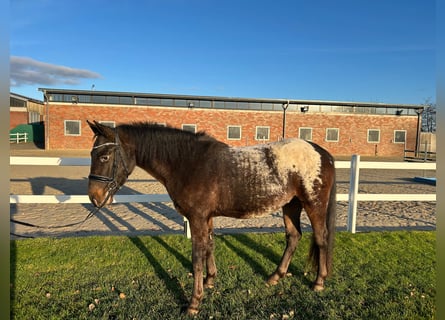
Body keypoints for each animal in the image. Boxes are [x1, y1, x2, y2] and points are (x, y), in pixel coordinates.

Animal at [87, 120, 336, 316]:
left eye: (105, 156)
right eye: (92, 154)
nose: (94, 197)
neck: (188, 162)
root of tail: (323, 153)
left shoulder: (197, 218)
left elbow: (197, 256)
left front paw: (194, 302)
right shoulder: (206, 217)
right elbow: (209, 246)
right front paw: (210, 281)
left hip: (313, 205)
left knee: (321, 238)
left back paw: (319, 281)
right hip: (290, 205)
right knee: (293, 236)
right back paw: (276, 276)